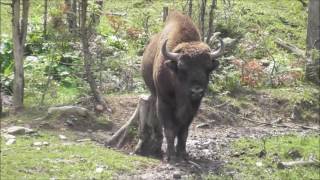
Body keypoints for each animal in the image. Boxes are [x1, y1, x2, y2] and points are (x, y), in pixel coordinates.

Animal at [141, 10, 224, 160]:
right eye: (182, 67)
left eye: (208, 68)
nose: (196, 91)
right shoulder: (164, 102)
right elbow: (170, 129)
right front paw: (171, 156)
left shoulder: (194, 107)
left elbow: (183, 131)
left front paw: (183, 153)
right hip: (154, 95)